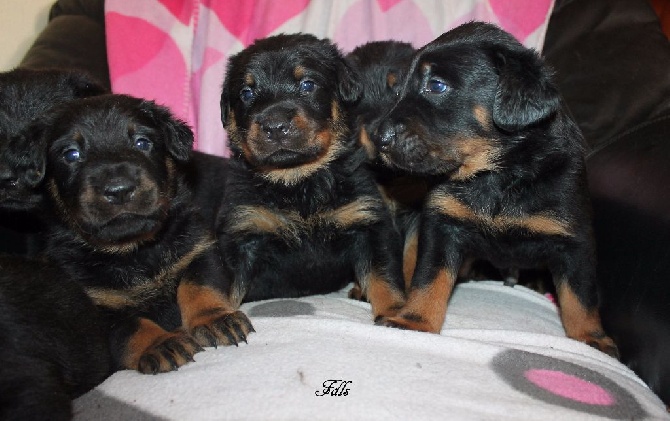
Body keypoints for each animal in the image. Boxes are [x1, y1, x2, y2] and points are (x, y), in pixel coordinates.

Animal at [34, 93, 255, 372]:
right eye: (71, 154)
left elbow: (200, 285)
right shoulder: (96, 306)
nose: (119, 190)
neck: (134, 250)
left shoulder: (198, 249)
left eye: (142, 142)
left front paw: (215, 319)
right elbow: (131, 326)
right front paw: (161, 344)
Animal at [223, 33, 406, 318]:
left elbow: (384, 277)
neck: (298, 182)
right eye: (246, 93)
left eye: (308, 84)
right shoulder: (244, 231)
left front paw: (396, 314)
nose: (275, 126)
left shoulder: (367, 223)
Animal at [372, 22, 620, 358]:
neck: (496, 176)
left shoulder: (575, 240)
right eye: (398, 91)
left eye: (436, 86)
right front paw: (415, 319)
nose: (378, 138)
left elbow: (580, 296)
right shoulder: (442, 225)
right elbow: (429, 276)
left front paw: (591, 338)